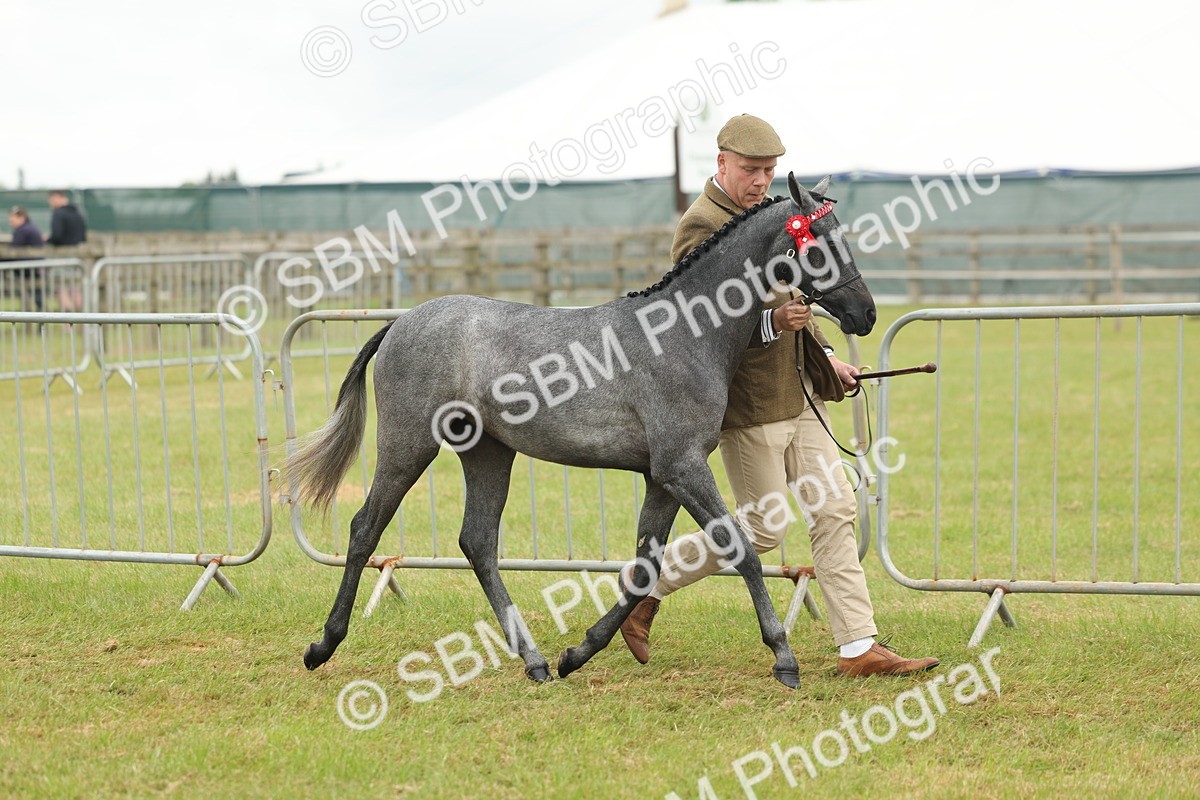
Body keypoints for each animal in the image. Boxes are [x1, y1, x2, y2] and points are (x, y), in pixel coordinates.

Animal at [291, 173, 876, 688]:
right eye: (820, 243)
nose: (866, 314)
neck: (684, 333)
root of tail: (400, 322)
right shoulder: (682, 466)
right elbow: (742, 549)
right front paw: (784, 657)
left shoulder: (662, 477)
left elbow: (643, 569)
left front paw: (579, 653)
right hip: (408, 444)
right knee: (365, 528)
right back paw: (323, 645)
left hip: (488, 453)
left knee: (477, 541)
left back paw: (534, 661)